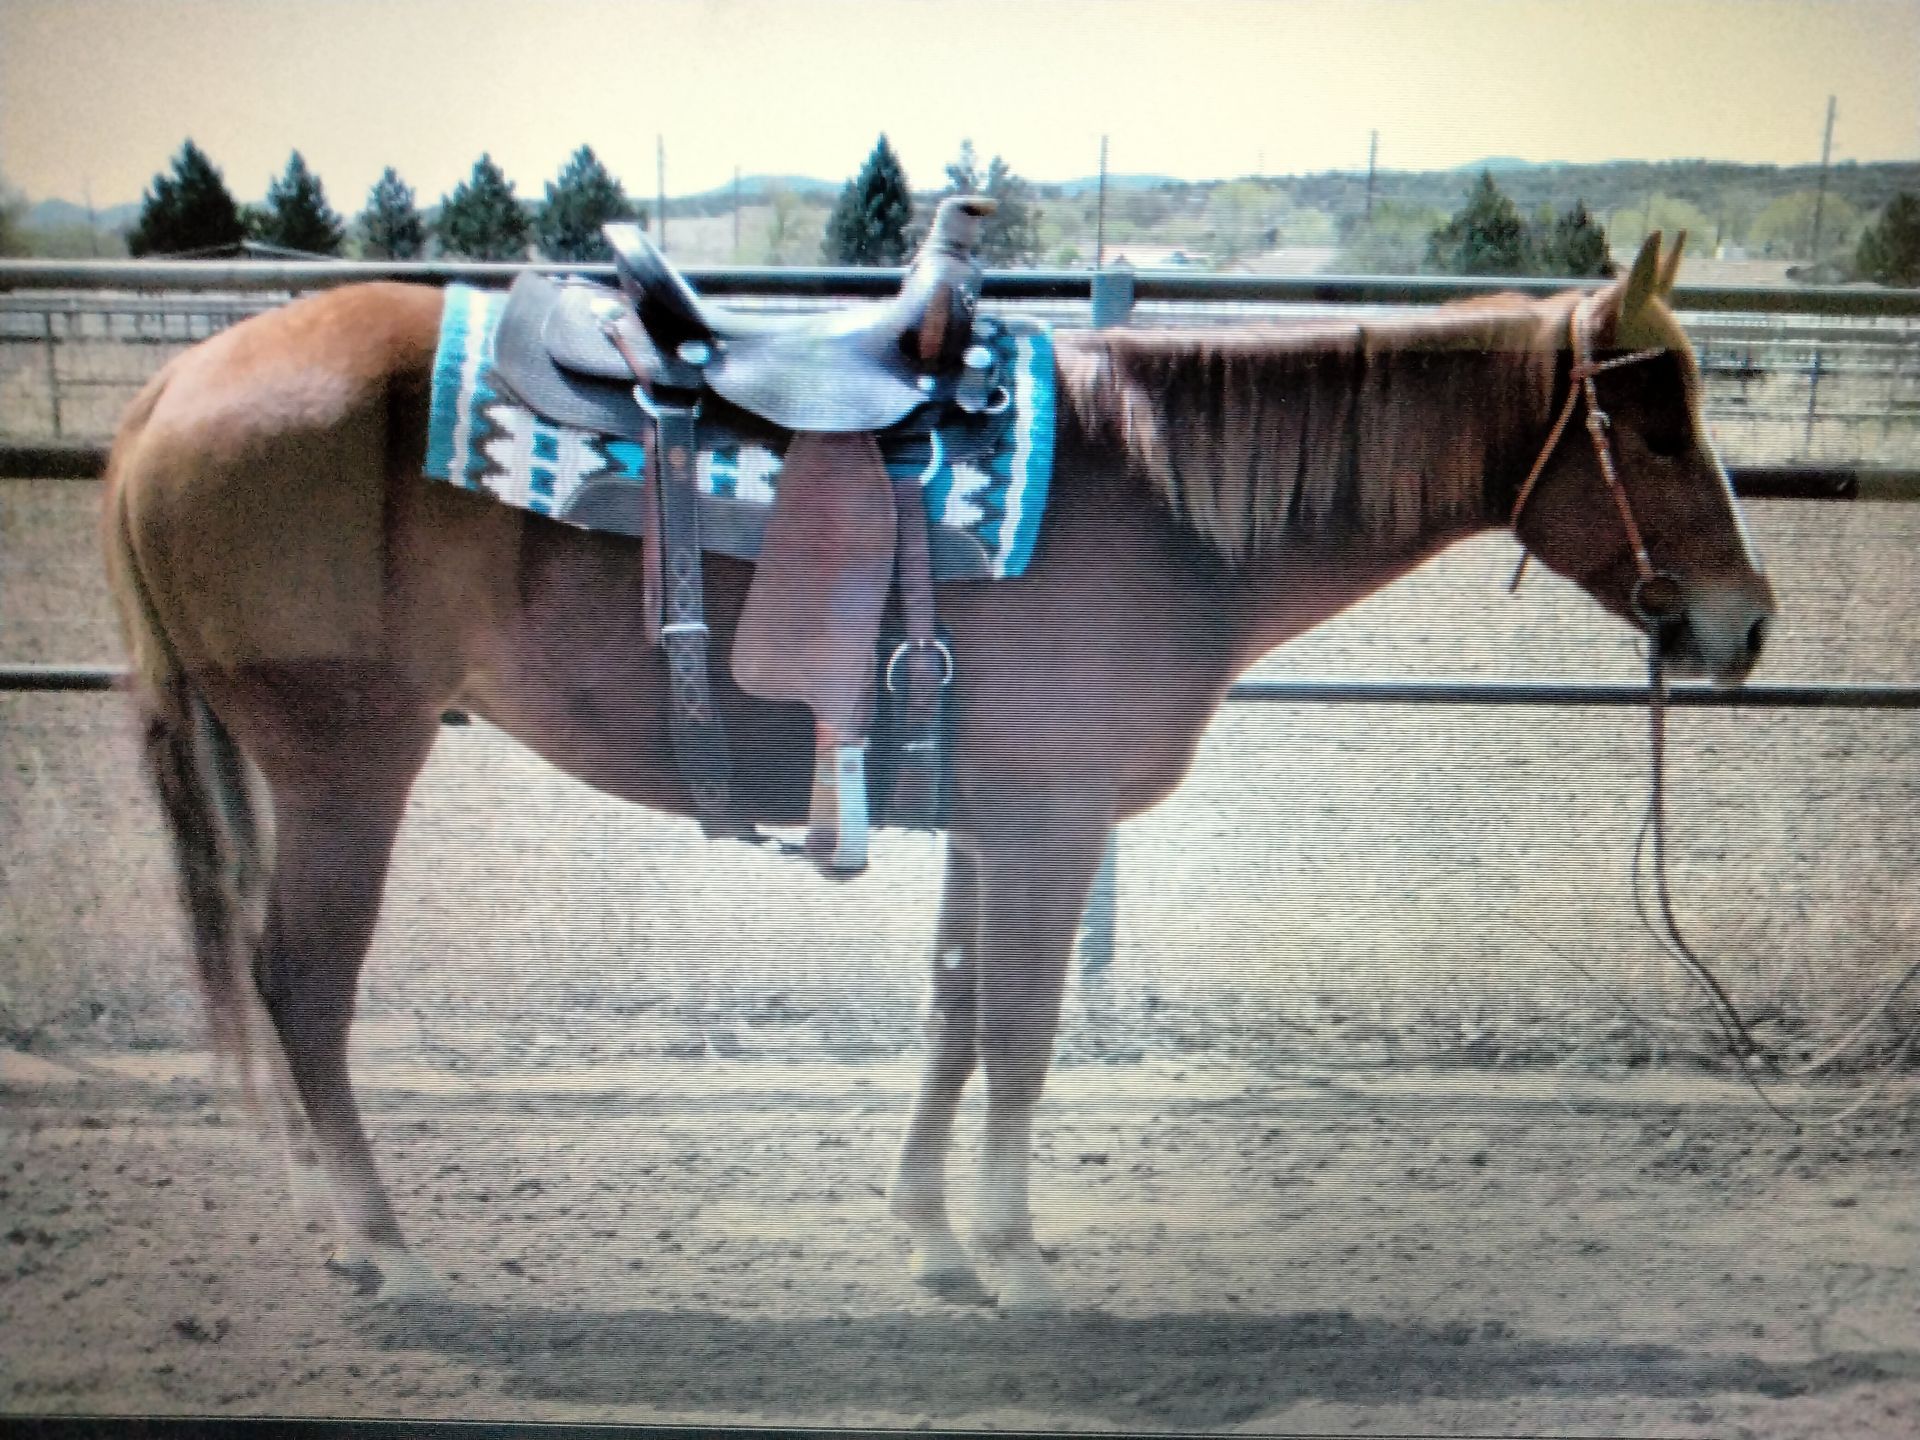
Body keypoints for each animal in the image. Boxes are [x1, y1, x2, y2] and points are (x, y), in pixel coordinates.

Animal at [100, 233, 1774, 1312]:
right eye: (1652, 423)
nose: (1744, 622)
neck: (1159, 502)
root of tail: (170, 394)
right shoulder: (1049, 828)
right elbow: (1021, 1038)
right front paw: (1022, 1257)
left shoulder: (986, 824)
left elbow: (957, 1013)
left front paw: (934, 1235)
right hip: (347, 763)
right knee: (303, 987)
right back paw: (384, 1246)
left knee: (263, 980)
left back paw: (332, 1228)